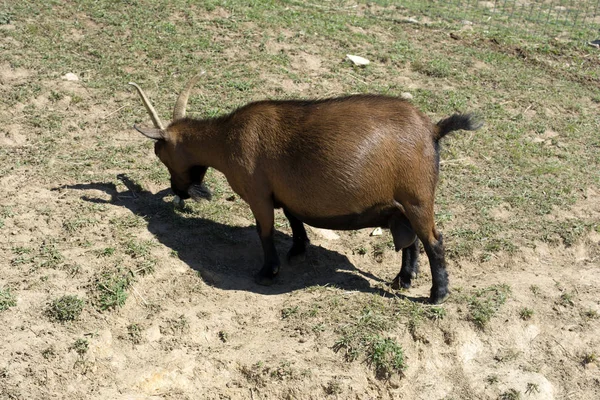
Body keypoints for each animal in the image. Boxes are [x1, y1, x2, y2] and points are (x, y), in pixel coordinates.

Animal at [130, 72, 482, 304]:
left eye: (160, 154)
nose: (178, 191)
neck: (227, 138)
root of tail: (432, 129)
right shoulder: (285, 194)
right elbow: (294, 218)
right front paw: (298, 250)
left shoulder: (258, 194)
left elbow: (265, 232)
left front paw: (267, 272)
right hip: (402, 204)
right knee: (410, 239)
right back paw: (403, 279)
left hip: (418, 196)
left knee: (434, 241)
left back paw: (437, 295)